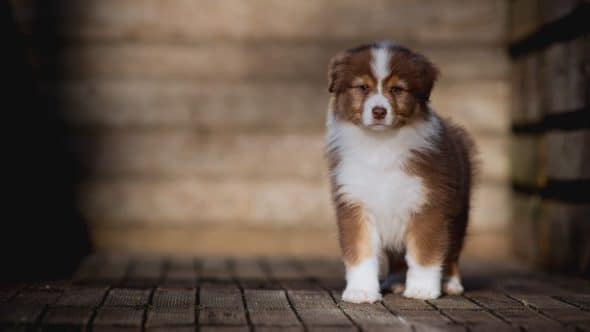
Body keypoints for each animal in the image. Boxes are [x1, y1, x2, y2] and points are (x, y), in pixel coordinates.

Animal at [326, 41, 478, 304]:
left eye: (397, 89)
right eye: (363, 87)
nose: (379, 111)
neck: (380, 145)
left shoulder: (428, 204)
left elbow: (424, 254)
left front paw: (422, 290)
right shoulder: (354, 203)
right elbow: (360, 252)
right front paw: (361, 292)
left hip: (459, 212)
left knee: (452, 251)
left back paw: (451, 283)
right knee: (397, 256)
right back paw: (395, 281)